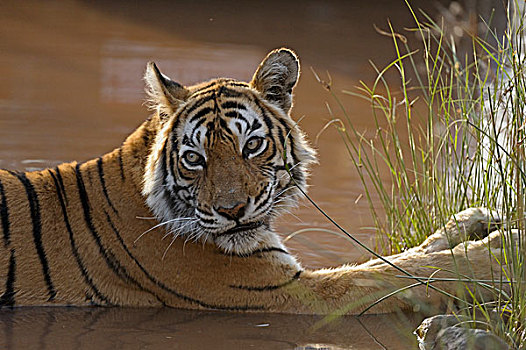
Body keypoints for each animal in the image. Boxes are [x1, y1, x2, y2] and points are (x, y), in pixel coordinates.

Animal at [0, 47, 516, 314]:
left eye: (251, 146)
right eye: (194, 159)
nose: (232, 211)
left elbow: (410, 253)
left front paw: (478, 219)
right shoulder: (284, 292)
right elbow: (401, 273)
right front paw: (501, 257)